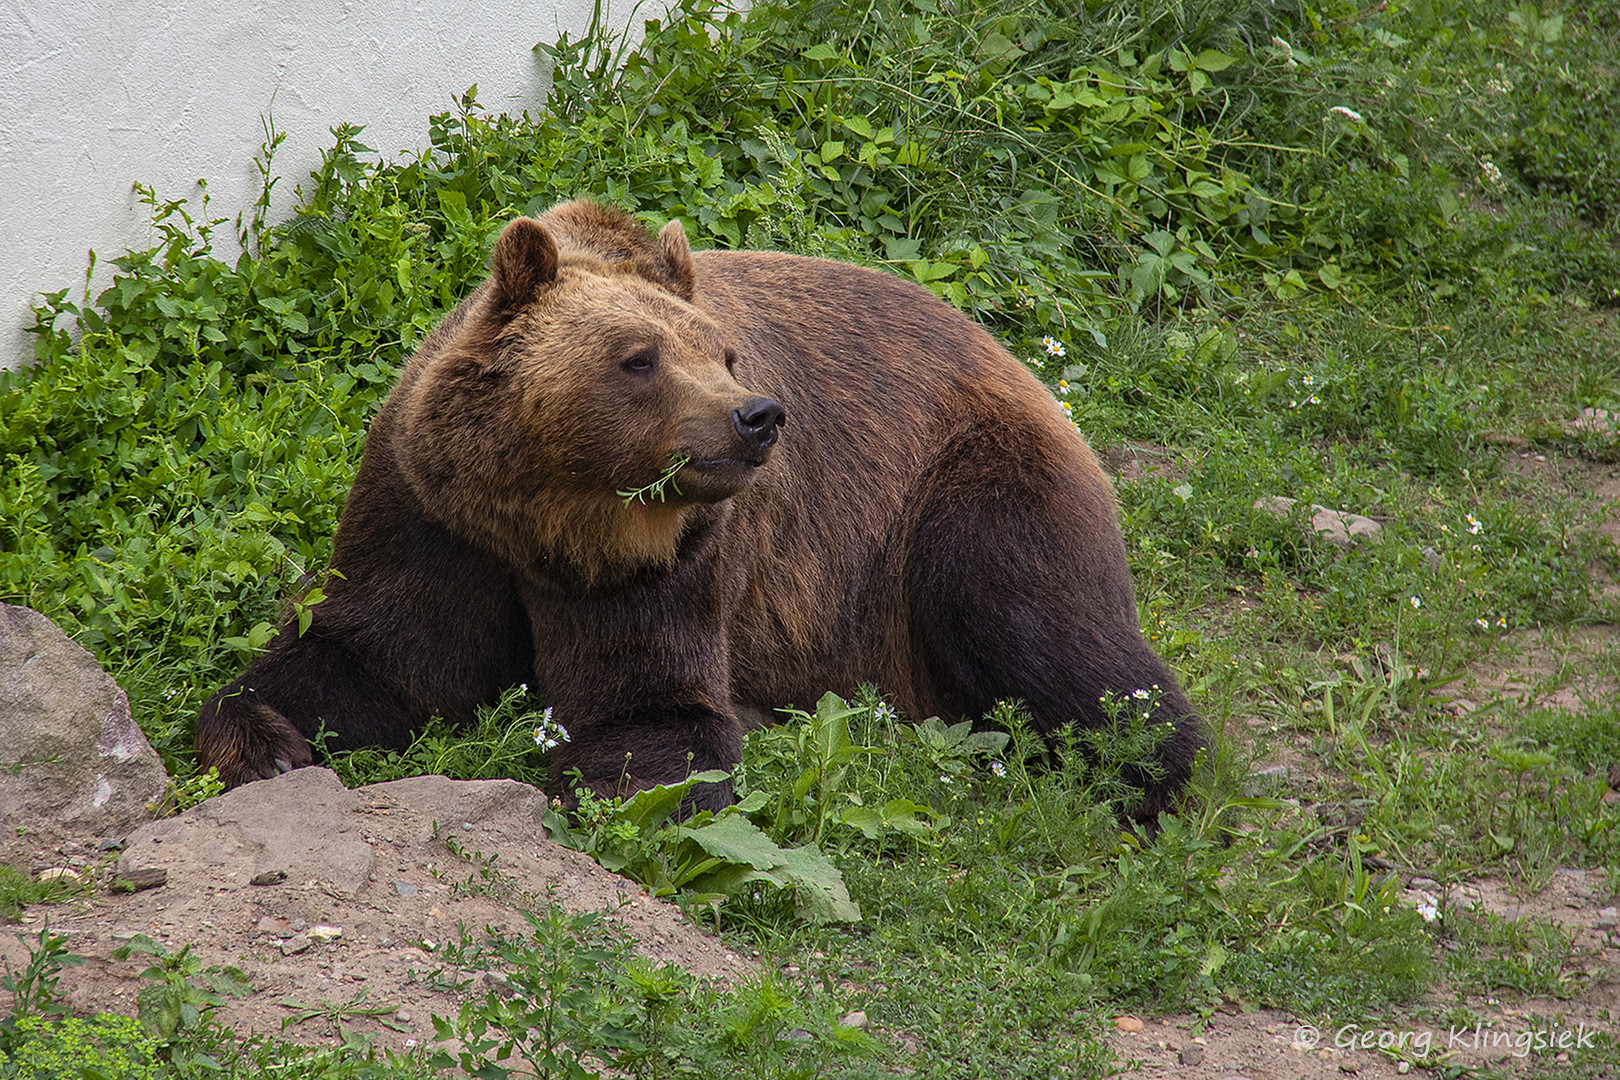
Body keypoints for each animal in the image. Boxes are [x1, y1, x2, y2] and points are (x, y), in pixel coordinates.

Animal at [192, 200, 1205, 819]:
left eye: (721, 353)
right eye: (639, 357)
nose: (756, 417)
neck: (547, 520)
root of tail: (1018, 363)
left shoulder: (675, 556)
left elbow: (653, 706)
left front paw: (637, 795)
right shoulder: (433, 522)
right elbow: (368, 656)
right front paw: (264, 745)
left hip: (958, 487)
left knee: (1036, 618)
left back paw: (1150, 772)